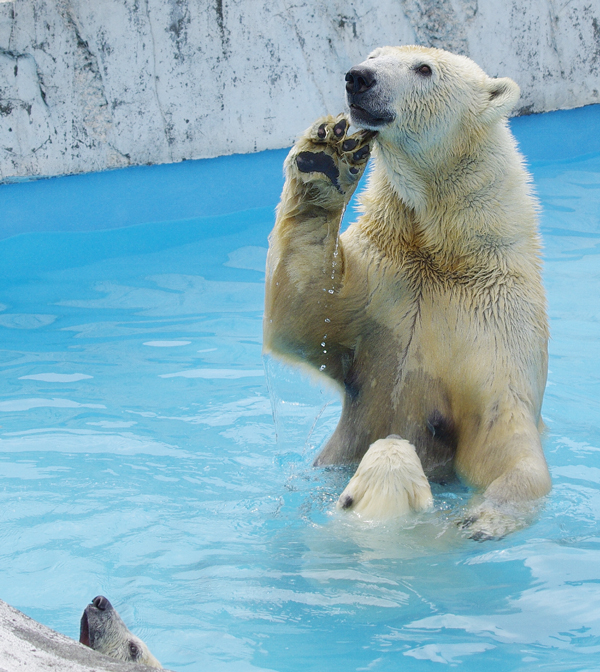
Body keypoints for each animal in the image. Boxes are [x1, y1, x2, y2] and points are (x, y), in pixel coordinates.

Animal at [264, 44, 552, 540]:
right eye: (374, 52)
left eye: (424, 68)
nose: (359, 77)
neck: (443, 253)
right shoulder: (384, 278)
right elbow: (303, 311)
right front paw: (326, 157)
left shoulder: (496, 318)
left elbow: (501, 430)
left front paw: (485, 516)